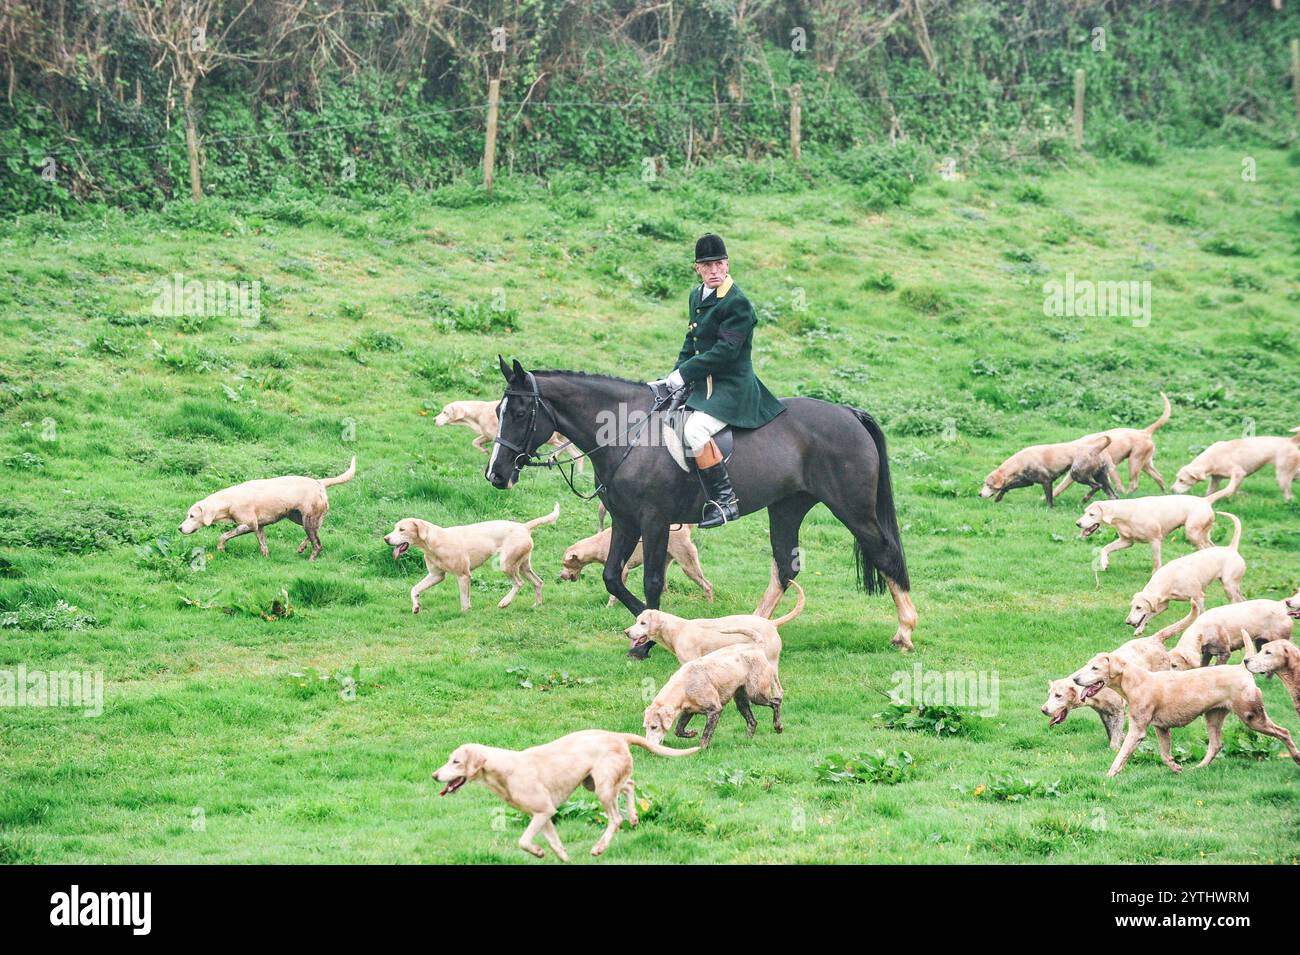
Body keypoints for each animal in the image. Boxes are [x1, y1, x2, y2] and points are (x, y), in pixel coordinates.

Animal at [483, 361, 920, 657]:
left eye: (519, 413)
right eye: (498, 412)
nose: (496, 474)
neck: (627, 432)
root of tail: (850, 412)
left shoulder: (654, 521)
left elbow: (652, 582)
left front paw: (649, 638)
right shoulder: (625, 521)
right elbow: (611, 577)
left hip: (852, 509)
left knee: (885, 554)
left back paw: (905, 631)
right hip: (787, 507)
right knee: (785, 567)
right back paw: (748, 629)